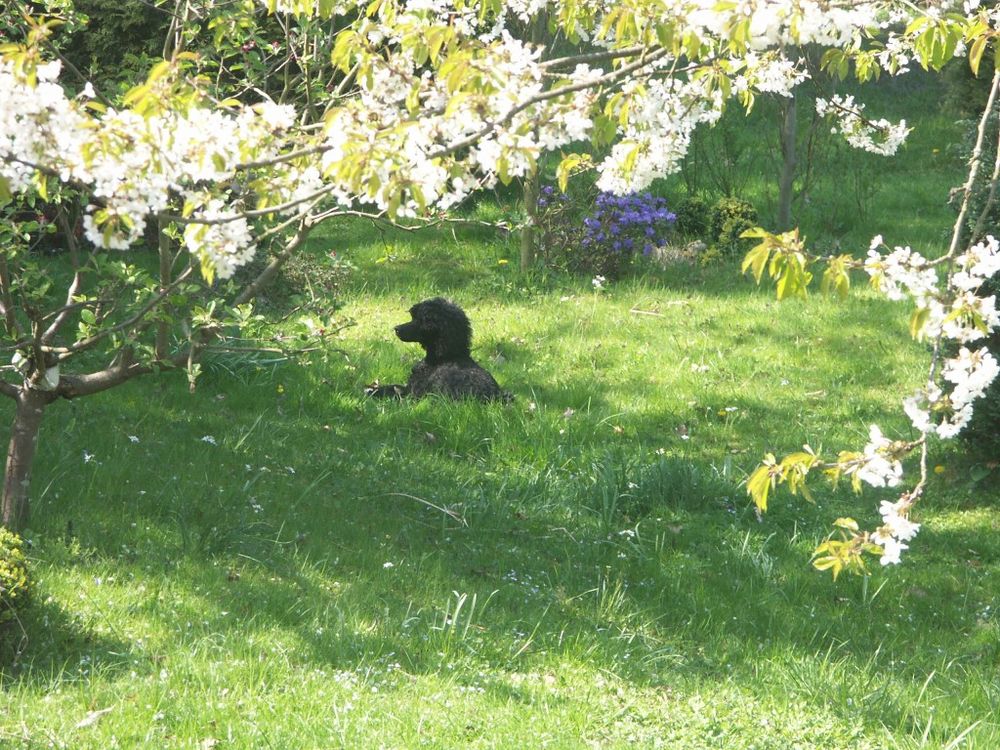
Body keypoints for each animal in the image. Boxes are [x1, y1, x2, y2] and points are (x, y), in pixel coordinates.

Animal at [366, 300, 512, 406]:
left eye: (419, 320)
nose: (396, 329)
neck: (443, 357)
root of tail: (494, 397)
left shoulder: (413, 391)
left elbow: (393, 389)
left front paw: (372, 391)